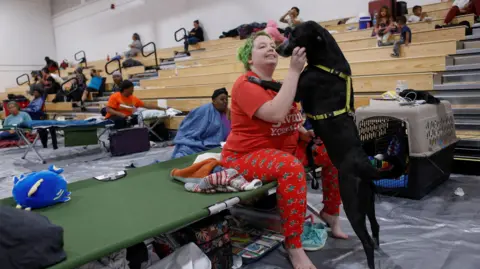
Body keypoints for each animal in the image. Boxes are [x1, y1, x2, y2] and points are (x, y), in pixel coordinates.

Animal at [278, 21, 382, 268]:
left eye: (294, 35)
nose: (278, 49)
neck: (327, 60)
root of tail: (366, 165)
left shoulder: (298, 90)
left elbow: (274, 83)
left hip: (352, 205)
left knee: (366, 241)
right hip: (368, 202)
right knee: (376, 226)